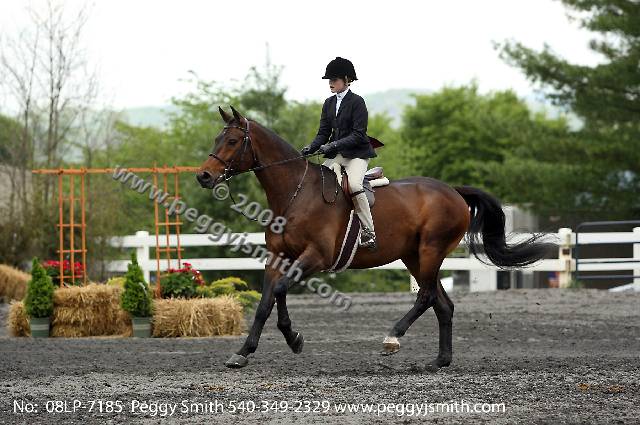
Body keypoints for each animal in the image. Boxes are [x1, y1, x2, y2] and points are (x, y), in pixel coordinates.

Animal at [196, 106, 554, 371]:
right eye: (216, 138)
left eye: (232, 141)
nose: (203, 176)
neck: (294, 195)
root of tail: (453, 191)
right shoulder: (278, 258)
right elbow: (265, 303)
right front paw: (243, 352)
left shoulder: (315, 257)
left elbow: (281, 291)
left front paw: (293, 337)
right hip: (413, 255)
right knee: (443, 304)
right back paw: (438, 361)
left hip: (430, 251)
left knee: (426, 296)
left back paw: (393, 338)